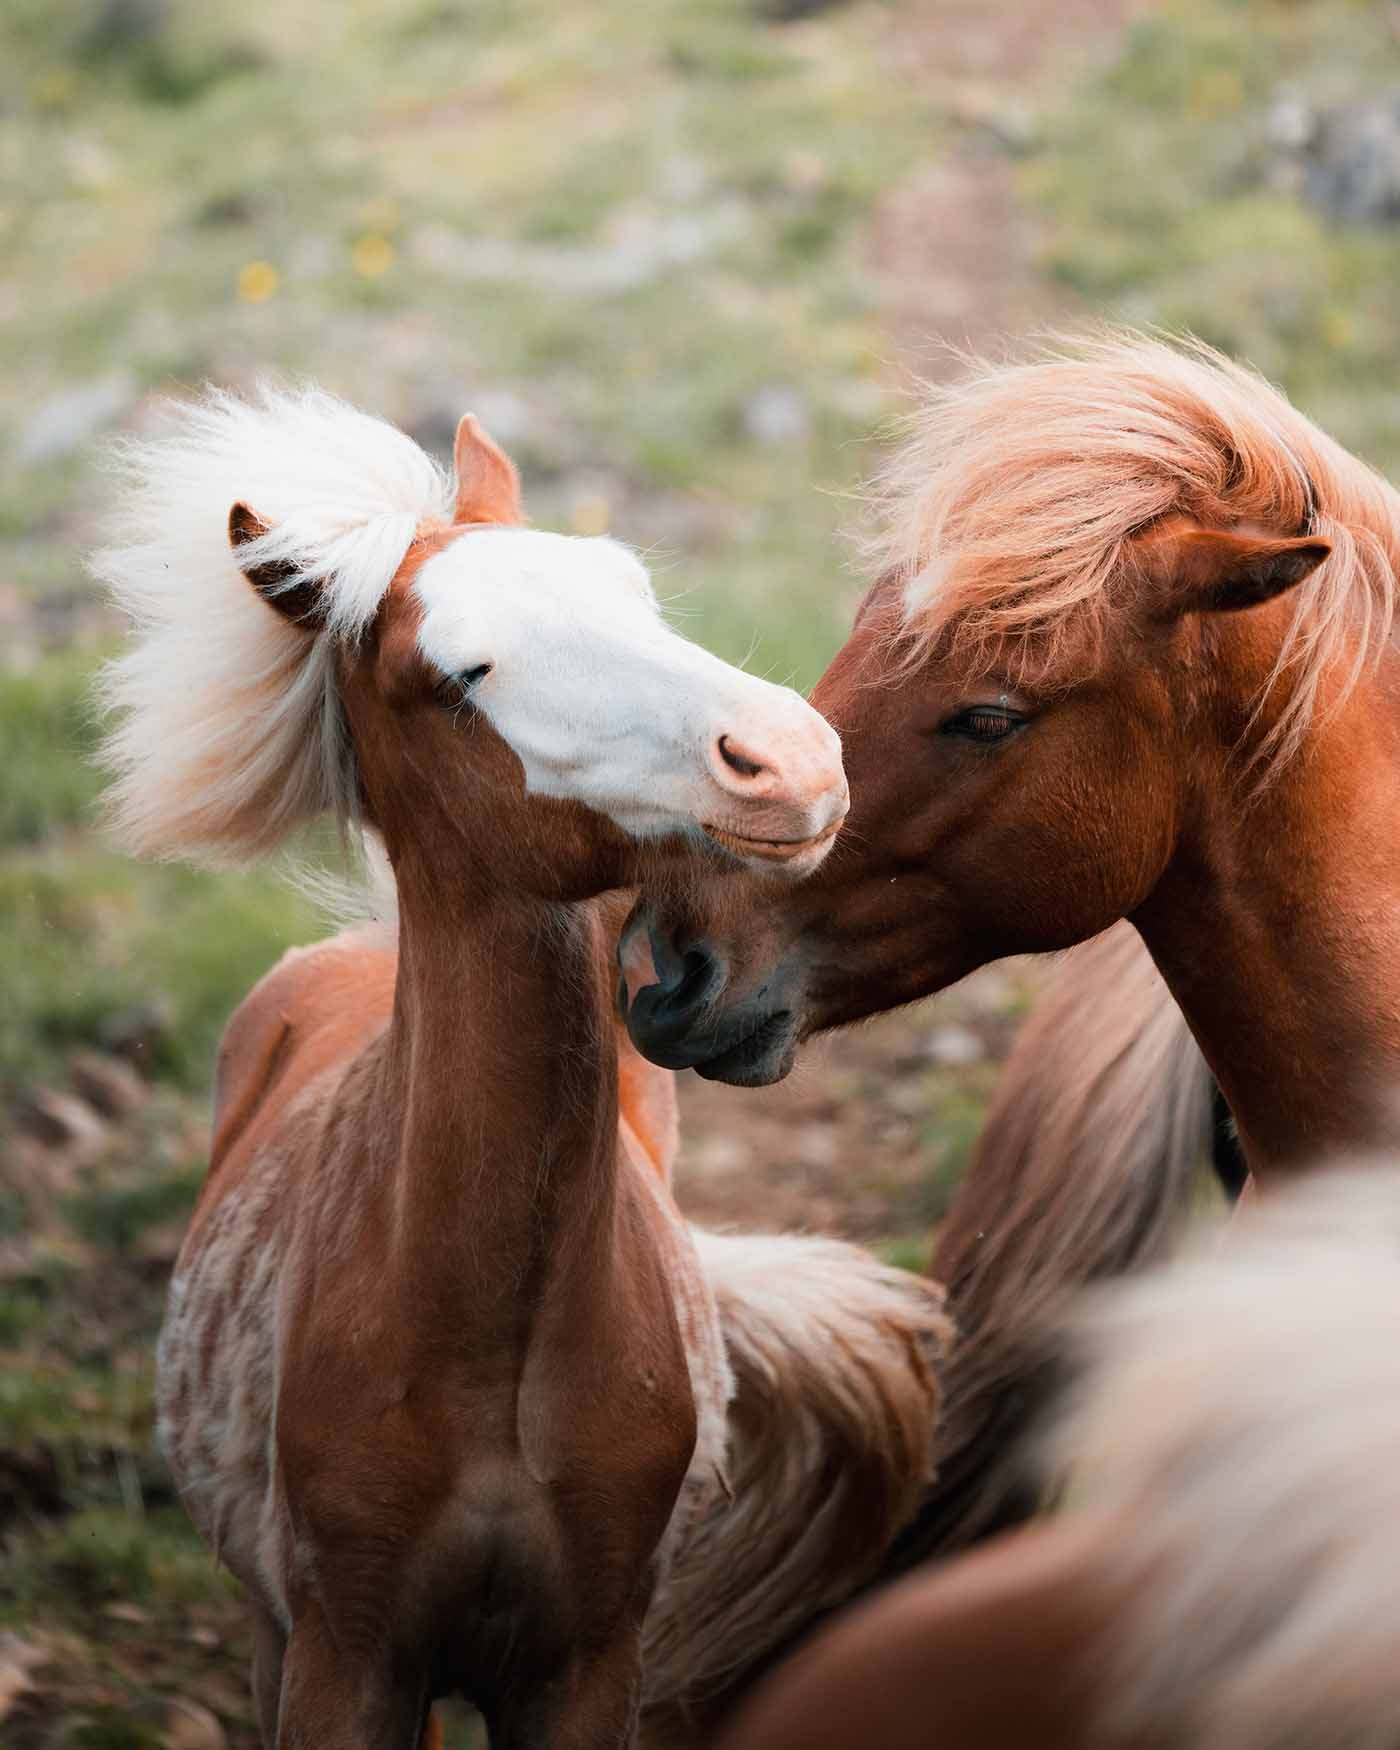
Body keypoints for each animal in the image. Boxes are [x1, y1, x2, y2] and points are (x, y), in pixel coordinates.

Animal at [98, 386, 945, 1750]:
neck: (489, 1368)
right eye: (458, 674)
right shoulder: (346, 1662)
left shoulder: (585, 1663)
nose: (791, 758)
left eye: (632, 589)